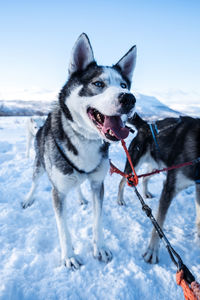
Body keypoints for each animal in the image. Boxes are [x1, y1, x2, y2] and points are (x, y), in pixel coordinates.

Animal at [118, 113, 200, 264]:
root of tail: (145, 125)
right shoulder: (169, 188)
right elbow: (159, 225)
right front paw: (152, 251)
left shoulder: (198, 186)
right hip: (134, 164)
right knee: (122, 181)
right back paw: (120, 199)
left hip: (157, 167)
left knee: (144, 178)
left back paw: (146, 193)